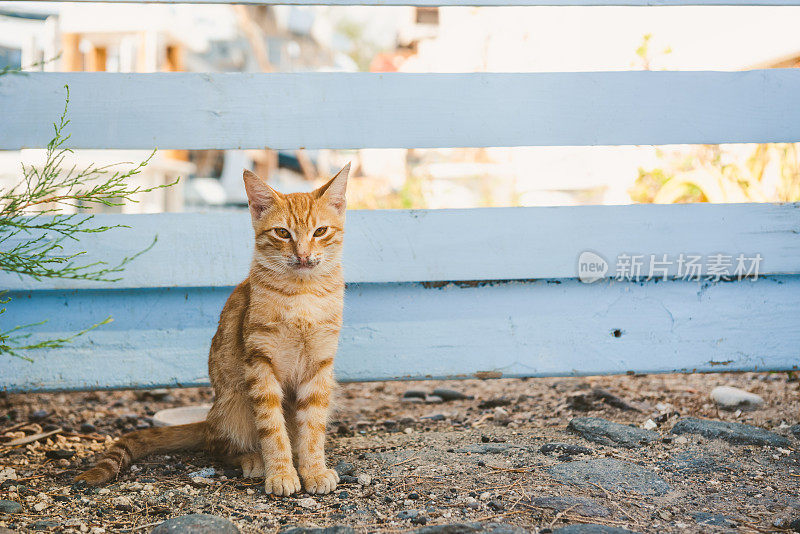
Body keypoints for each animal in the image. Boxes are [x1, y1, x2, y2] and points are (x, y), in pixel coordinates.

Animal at [76, 164, 348, 498]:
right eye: (282, 233)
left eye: (320, 231)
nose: (303, 256)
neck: (303, 293)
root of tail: (209, 418)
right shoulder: (260, 363)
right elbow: (272, 428)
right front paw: (282, 473)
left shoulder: (320, 367)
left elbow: (312, 428)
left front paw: (314, 470)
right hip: (234, 405)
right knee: (219, 447)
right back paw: (253, 458)